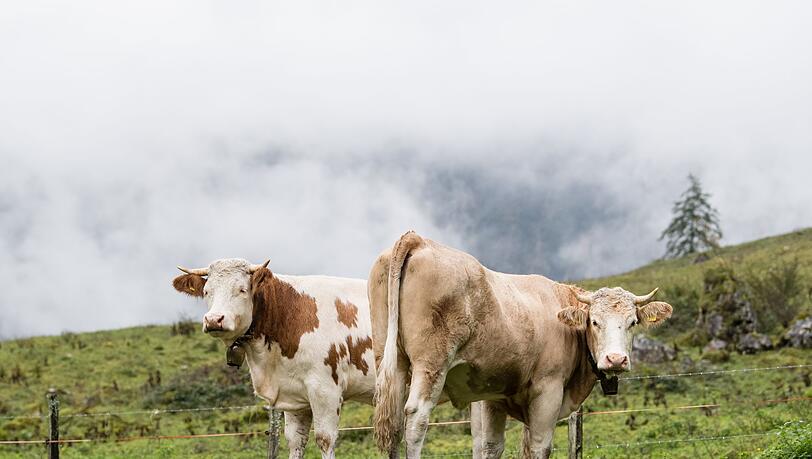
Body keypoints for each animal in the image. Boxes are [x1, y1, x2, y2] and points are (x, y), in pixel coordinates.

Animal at [172, 258, 375, 459]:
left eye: (242, 289)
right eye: (207, 291)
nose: (214, 320)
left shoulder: (326, 390)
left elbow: (325, 440)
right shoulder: (295, 395)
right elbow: (295, 441)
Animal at [369, 232, 673, 459]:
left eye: (633, 322)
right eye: (594, 322)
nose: (616, 359)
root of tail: (419, 240)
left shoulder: (491, 396)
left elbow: (490, 447)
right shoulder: (548, 390)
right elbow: (539, 447)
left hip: (391, 361)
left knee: (393, 422)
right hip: (431, 364)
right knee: (416, 418)